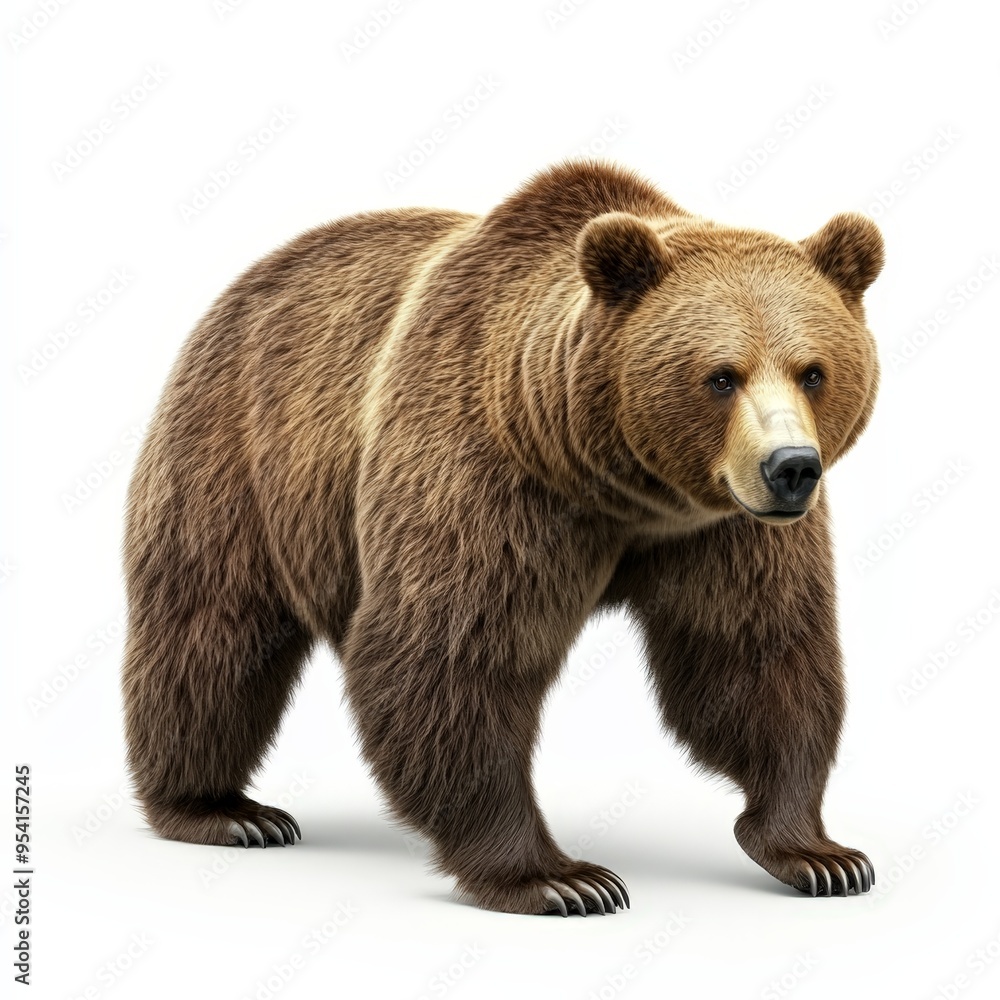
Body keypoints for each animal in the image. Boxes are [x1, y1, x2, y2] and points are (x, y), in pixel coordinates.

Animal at [122, 160, 883, 916]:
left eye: (813, 371)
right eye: (721, 377)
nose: (791, 468)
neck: (620, 491)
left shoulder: (723, 531)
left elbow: (756, 650)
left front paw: (820, 854)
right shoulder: (485, 474)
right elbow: (453, 655)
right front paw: (561, 878)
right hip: (239, 451)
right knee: (212, 629)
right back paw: (223, 809)